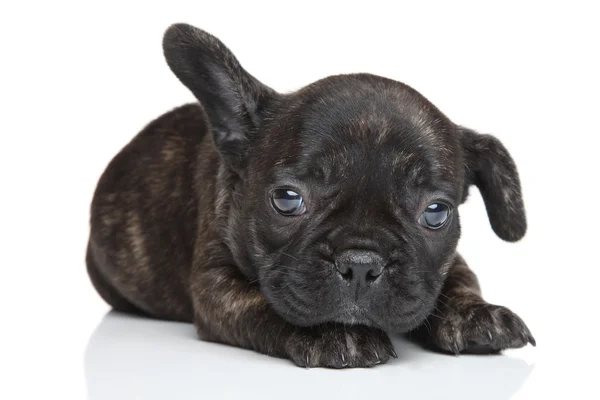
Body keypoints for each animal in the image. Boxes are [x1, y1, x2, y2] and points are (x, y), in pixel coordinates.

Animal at [84, 23, 536, 368]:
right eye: (287, 200)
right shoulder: (217, 287)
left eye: (436, 213)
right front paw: (332, 334)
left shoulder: (449, 260)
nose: (360, 263)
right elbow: (265, 303)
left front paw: (477, 315)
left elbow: (459, 278)